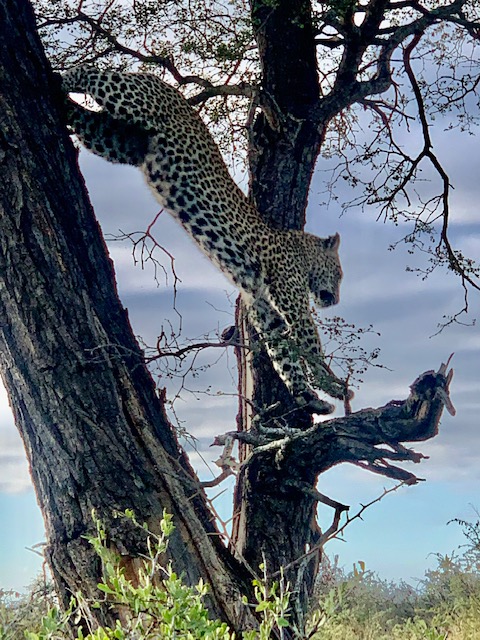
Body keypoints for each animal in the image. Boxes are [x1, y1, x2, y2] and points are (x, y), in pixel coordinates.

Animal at [62, 66, 352, 415]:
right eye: (339, 275)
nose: (335, 300)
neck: (301, 253)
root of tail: (170, 87)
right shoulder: (291, 299)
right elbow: (310, 344)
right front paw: (331, 386)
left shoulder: (264, 310)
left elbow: (284, 357)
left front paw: (309, 397)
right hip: (131, 99)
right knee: (97, 73)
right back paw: (63, 75)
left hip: (118, 140)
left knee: (85, 119)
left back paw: (59, 95)